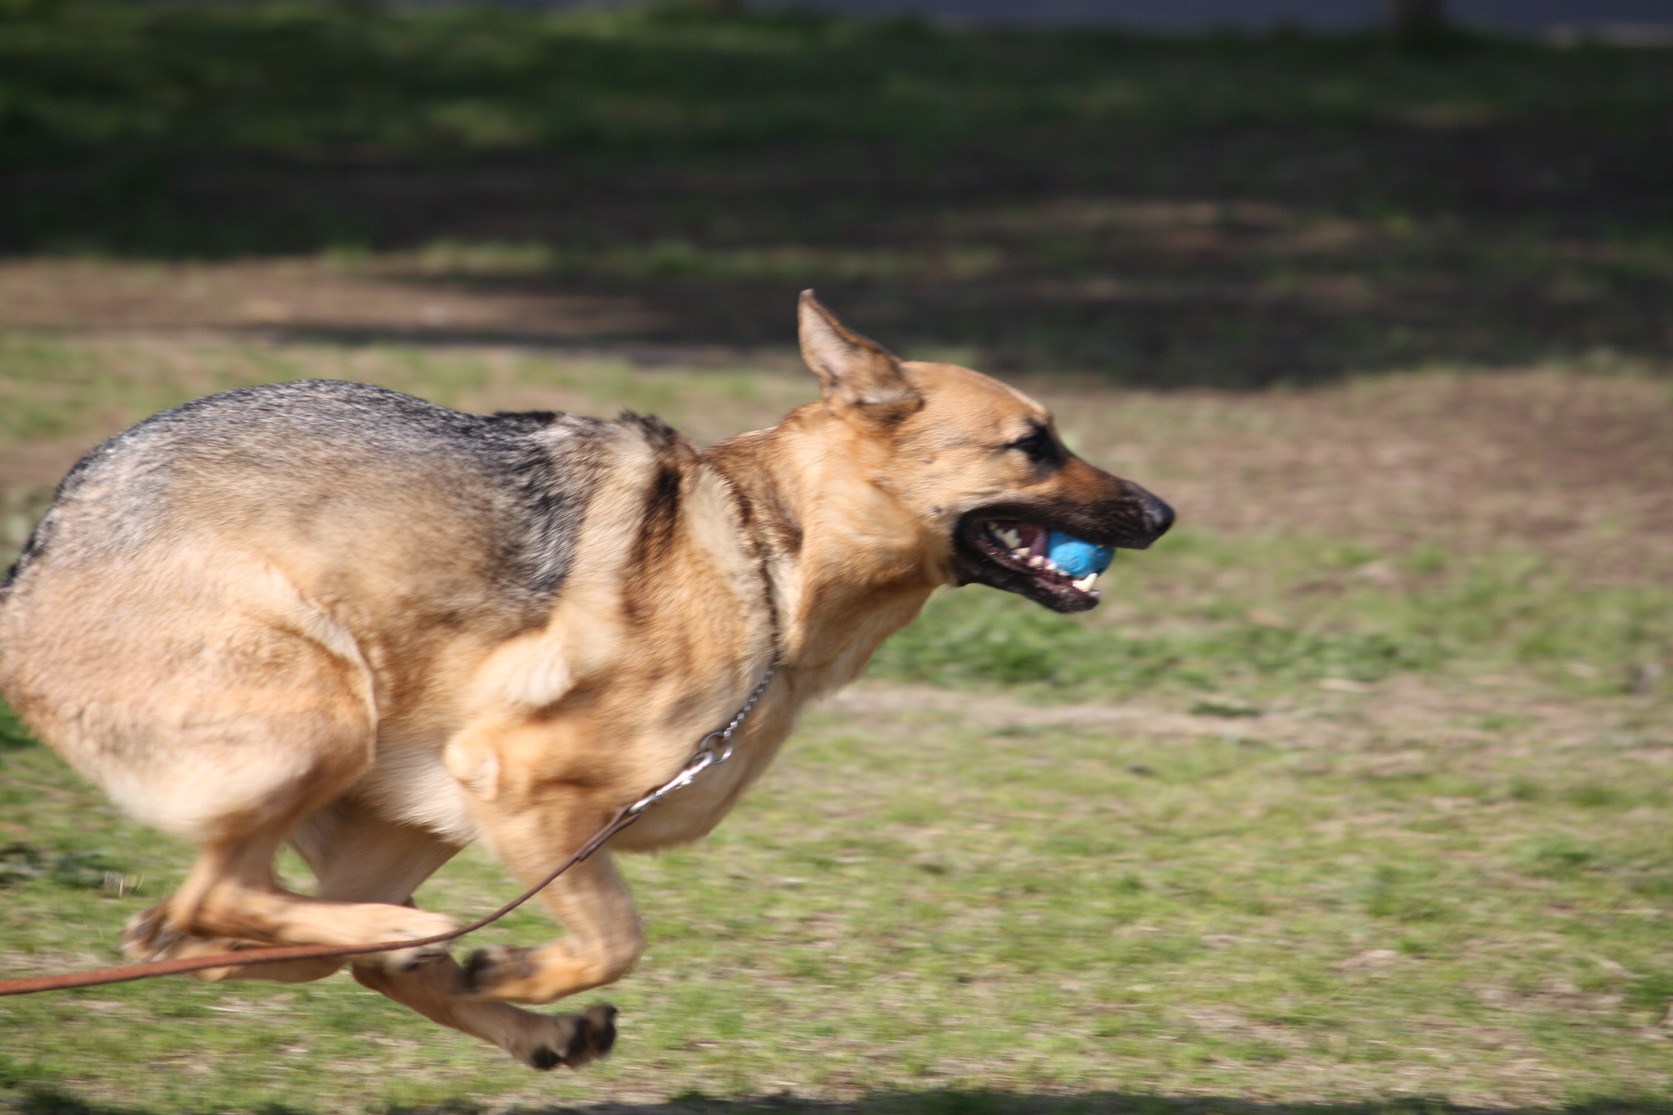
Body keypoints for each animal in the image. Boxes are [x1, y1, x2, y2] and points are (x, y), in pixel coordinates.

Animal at [0, 291, 1177, 1064]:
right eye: (1033, 445)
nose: (1164, 513)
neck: (777, 552)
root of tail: (34, 561)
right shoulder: (518, 778)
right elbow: (617, 936)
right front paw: (521, 969)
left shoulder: (488, 801)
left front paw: (519, 989)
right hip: (326, 713)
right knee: (230, 904)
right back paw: (426, 948)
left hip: (400, 810)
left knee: (221, 933)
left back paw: (490, 1005)